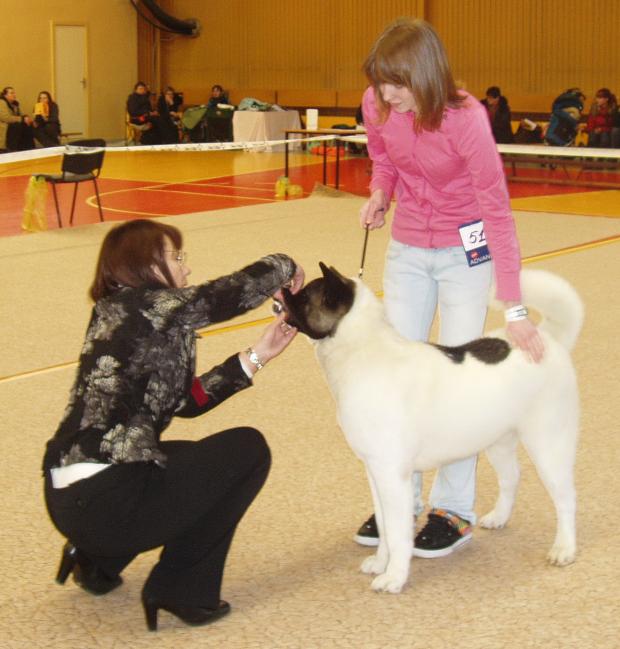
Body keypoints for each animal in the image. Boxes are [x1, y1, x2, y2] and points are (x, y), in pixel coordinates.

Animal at [284, 262, 584, 592]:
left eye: (305, 295)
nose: (283, 290)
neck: (362, 350)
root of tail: (547, 339)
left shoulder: (392, 476)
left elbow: (398, 534)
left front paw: (394, 576)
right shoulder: (375, 473)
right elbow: (385, 527)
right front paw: (380, 562)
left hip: (549, 445)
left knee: (566, 499)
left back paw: (564, 548)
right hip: (498, 441)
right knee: (511, 478)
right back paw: (499, 517)